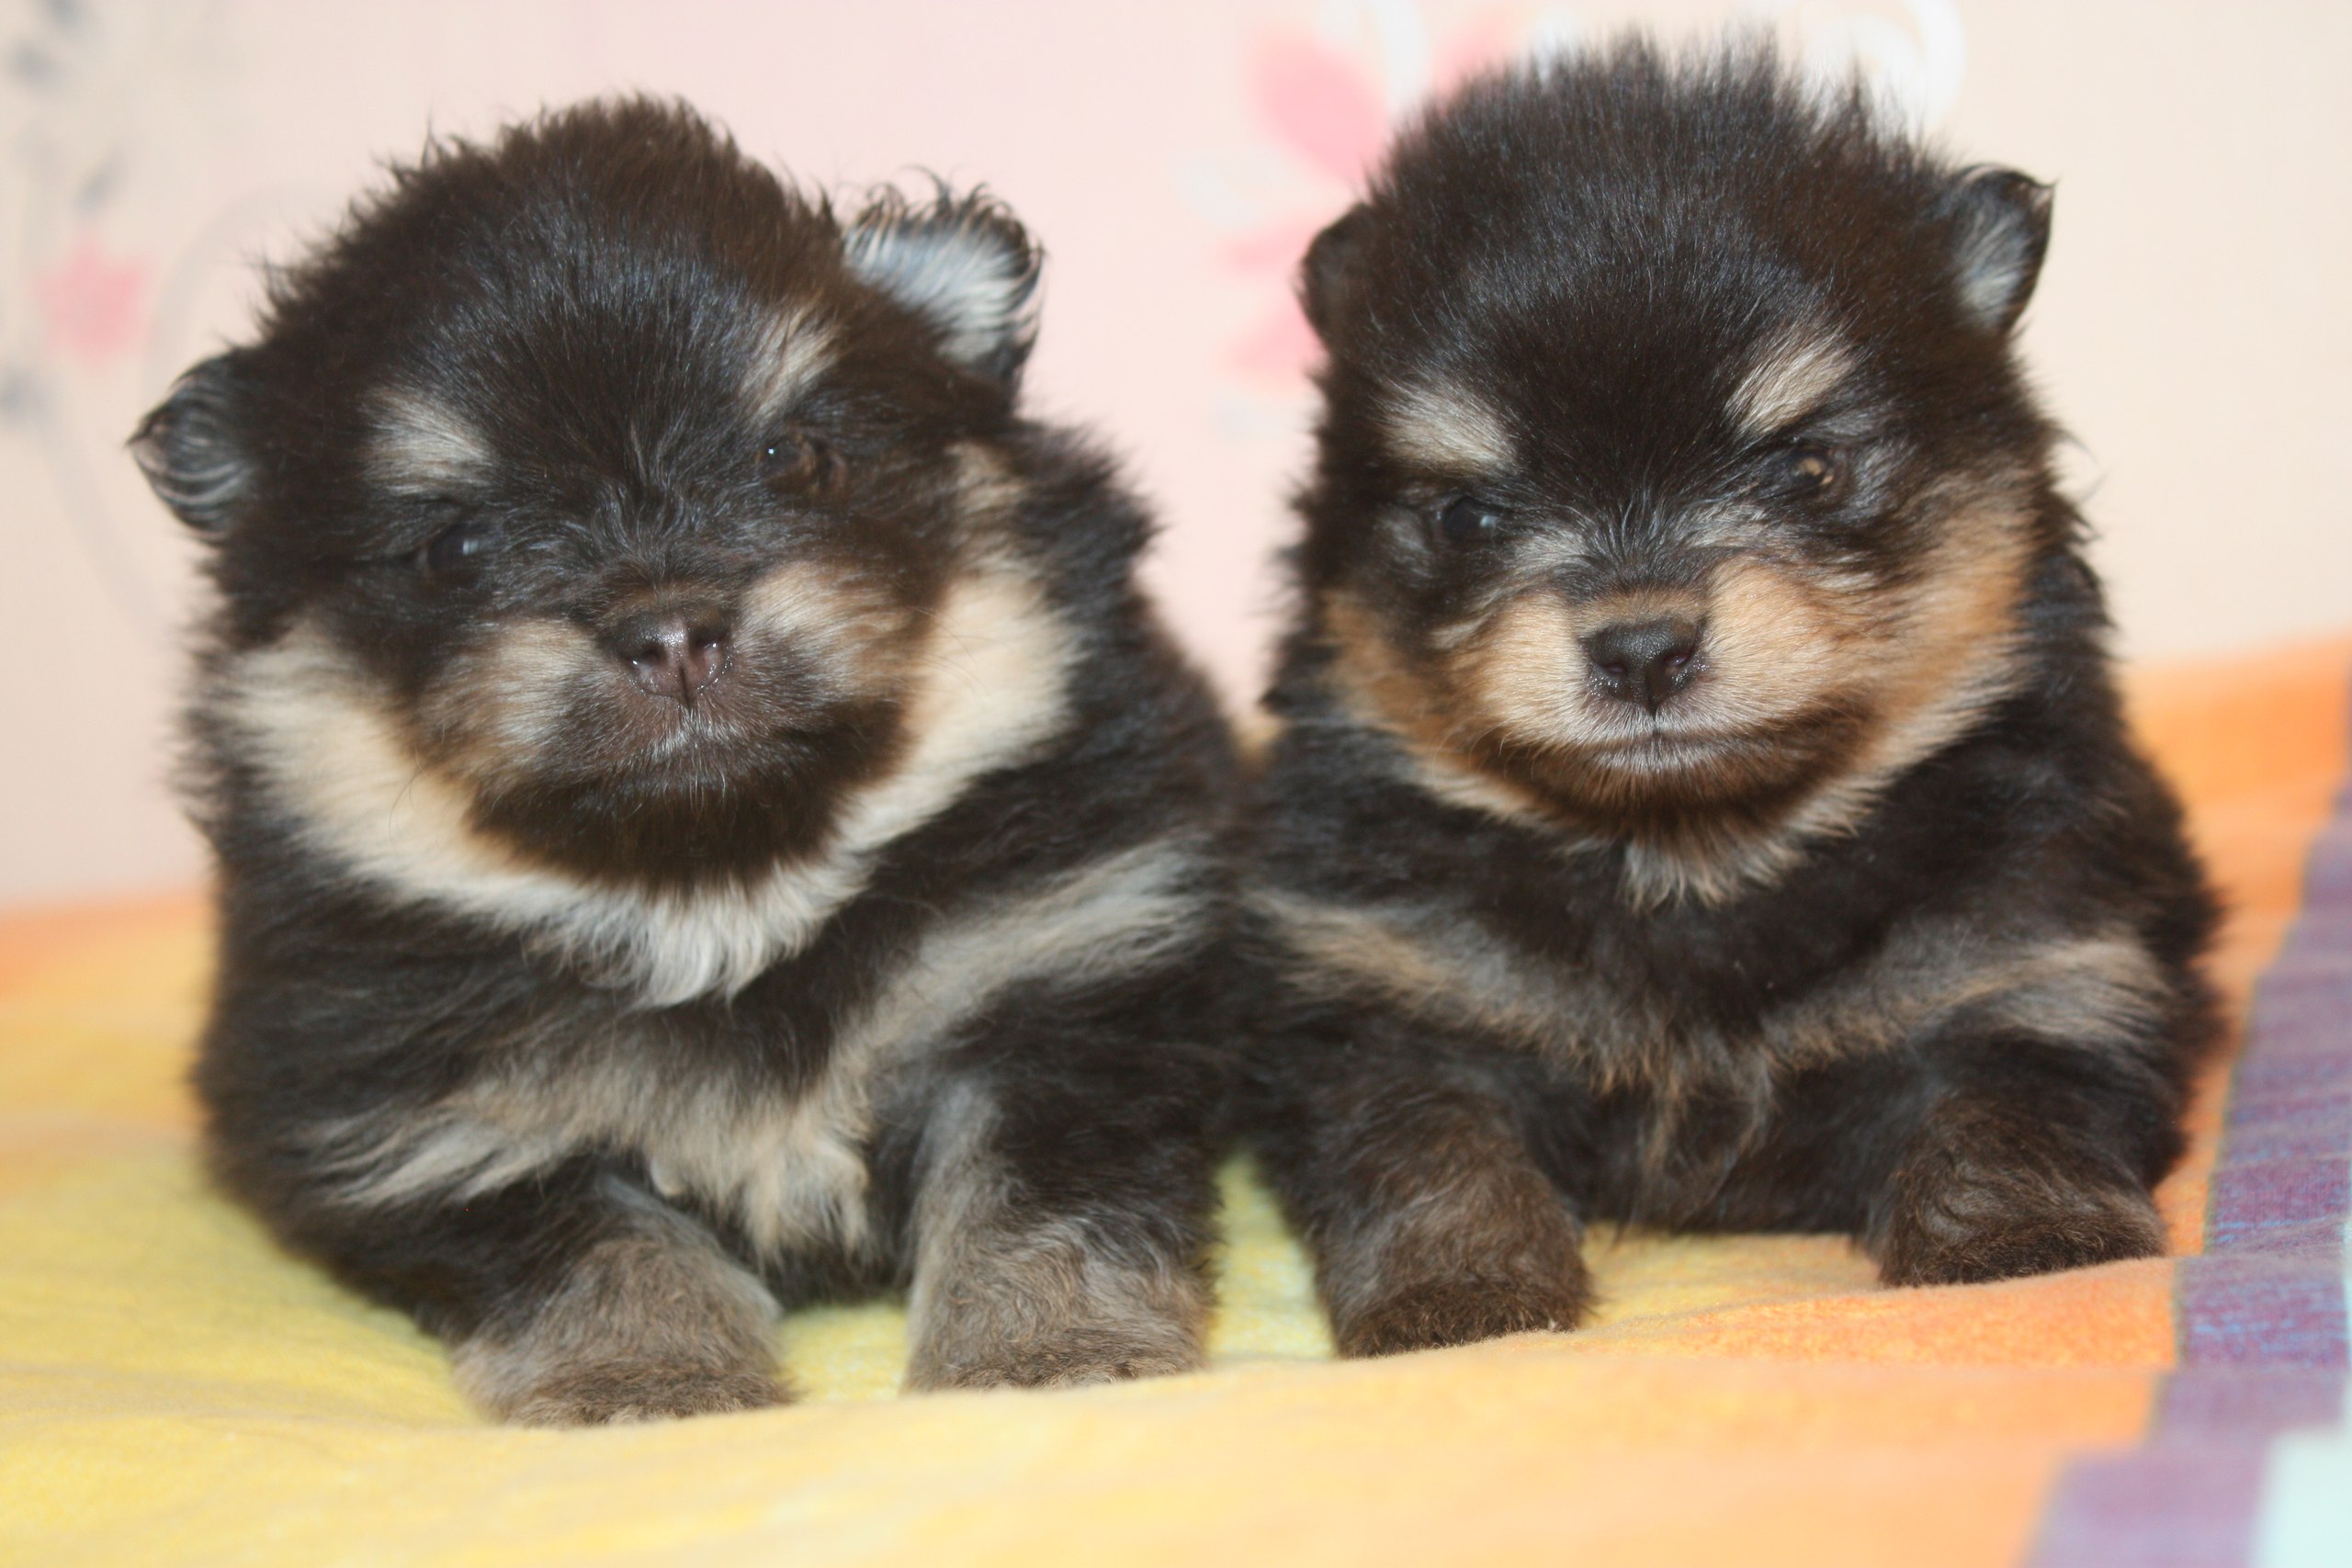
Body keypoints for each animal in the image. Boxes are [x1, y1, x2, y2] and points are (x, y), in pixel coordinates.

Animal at [132, 99, 1237, 1422]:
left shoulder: (1065, 990)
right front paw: (645, 1377)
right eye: (453, 547)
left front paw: (1044, 1355)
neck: (721, 889)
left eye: (797, 458)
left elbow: (1034, 1204)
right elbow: (605, 1240)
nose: (669, 632)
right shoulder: (431, 1116)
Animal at [1242, 42, 2219, 1357]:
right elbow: (1433, 1156)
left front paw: (2026, 1244)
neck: (1692, 860)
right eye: (1467, 516)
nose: (1642, 647)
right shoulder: (1387, 1007)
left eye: (1808, 467)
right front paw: (1461, 1296)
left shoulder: (2034, 970)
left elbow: (2009, 1117)